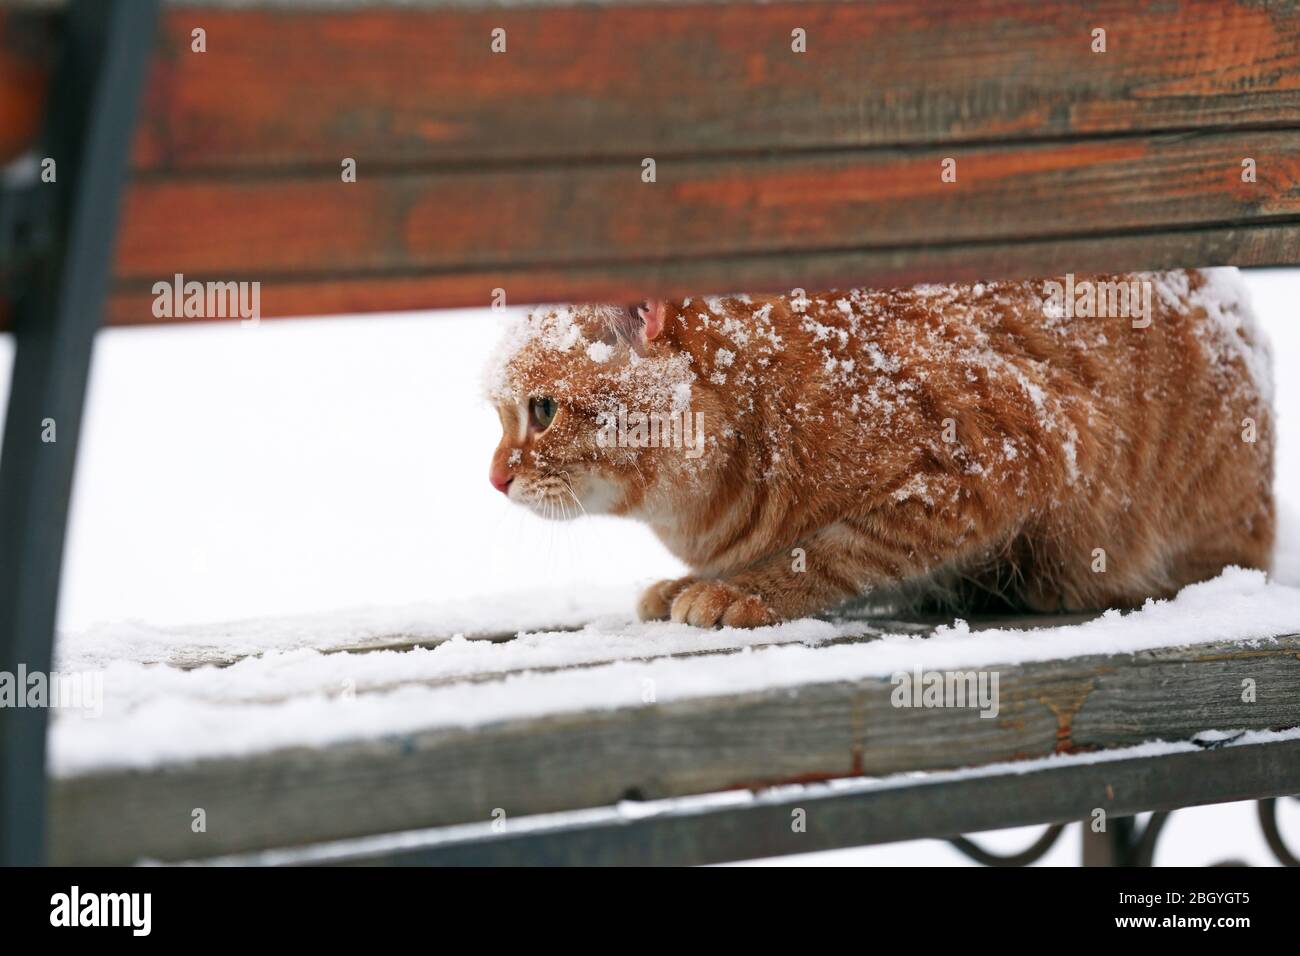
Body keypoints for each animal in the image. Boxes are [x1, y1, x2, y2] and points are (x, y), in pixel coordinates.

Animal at [486, 269, 1268, 629]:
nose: (493, 479)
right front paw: (689, 582)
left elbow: (833, 552)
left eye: (542, 412)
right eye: (498, 416)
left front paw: (744, 588)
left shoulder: (994, 459)